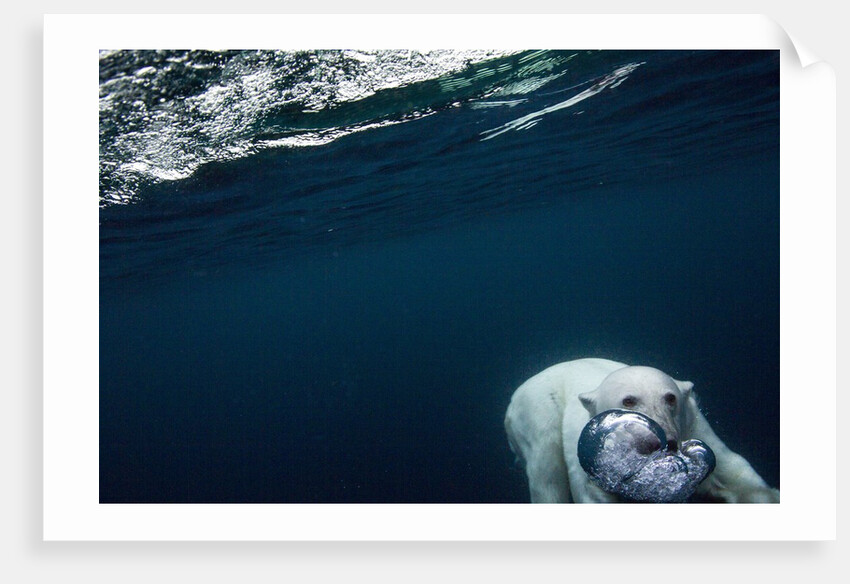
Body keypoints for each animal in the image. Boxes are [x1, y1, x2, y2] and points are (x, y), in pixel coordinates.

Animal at [504, 358, 780, 503]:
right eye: (629, 400)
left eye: (670, 398)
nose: (664, 441)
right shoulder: (589, 455)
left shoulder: (697, 429)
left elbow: (737, 476)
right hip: (537, 416)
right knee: (547, 478)